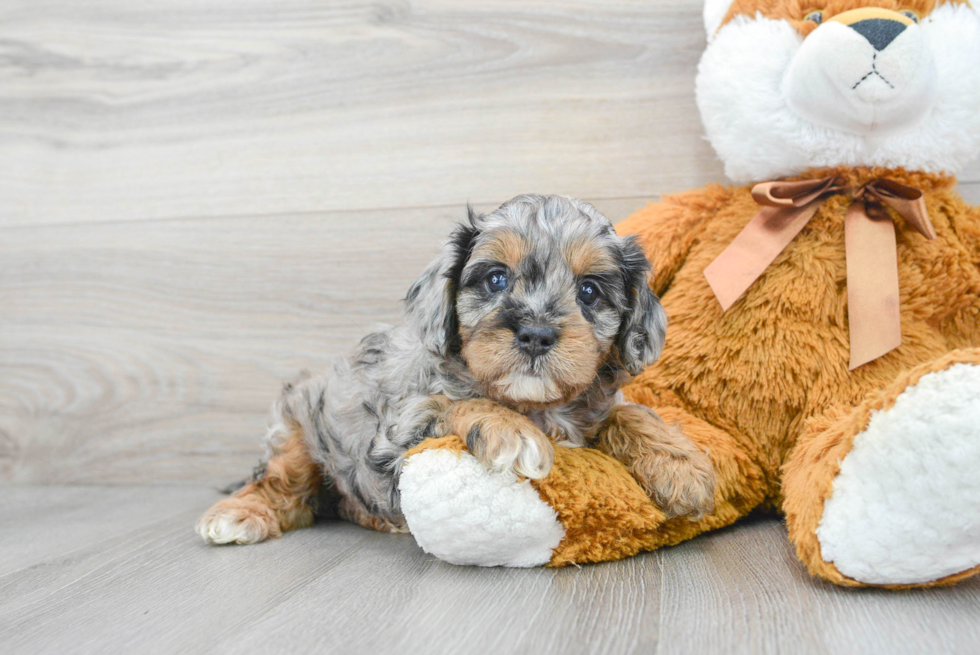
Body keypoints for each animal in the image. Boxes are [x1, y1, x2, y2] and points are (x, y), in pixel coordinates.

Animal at [197, 193, 712, 544]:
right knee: (283, 486)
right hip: (297, 423)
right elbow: (453, 402)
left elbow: (630, 412)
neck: (534, 403)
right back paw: (239, 515)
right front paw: (512, 432)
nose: (535, 334)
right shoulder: (400, 426)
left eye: (589, 291)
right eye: (496, 279)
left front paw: (681, 465)